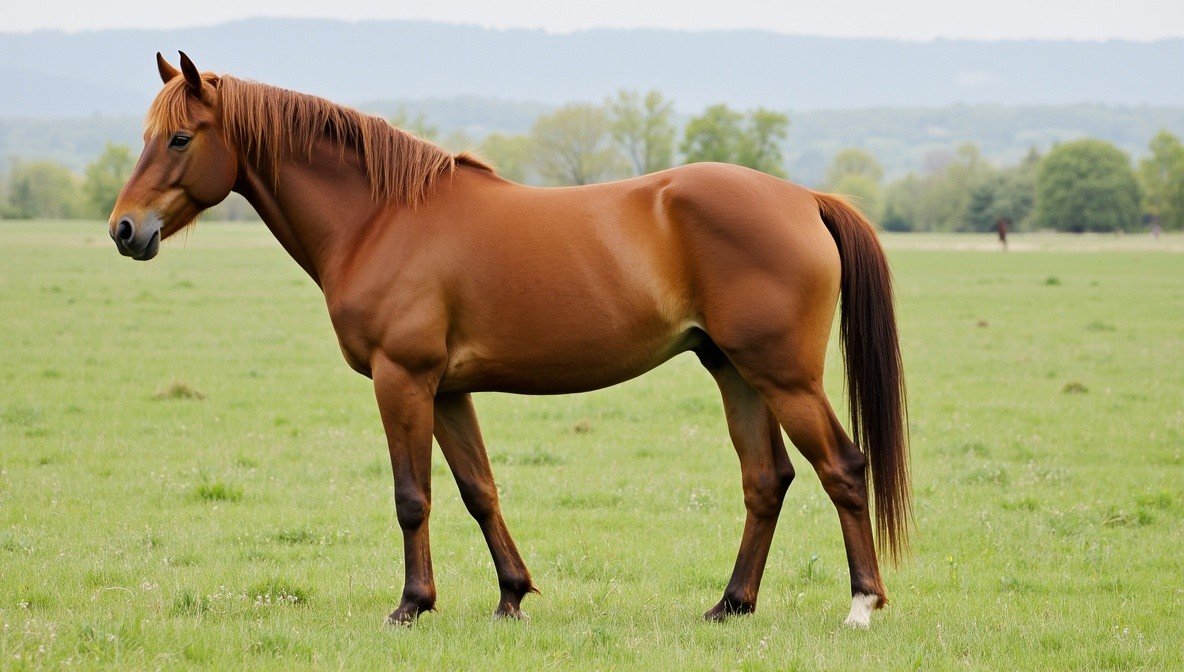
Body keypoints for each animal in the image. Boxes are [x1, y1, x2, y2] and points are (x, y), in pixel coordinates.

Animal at [109, 52, 909, 628]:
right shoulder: (447, 390)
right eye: (146, 135)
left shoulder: (404, 380)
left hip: (784, 377)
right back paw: (731, 604)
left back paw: (861, 605)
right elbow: (478, 491)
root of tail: (803, 198)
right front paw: (512, 595)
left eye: (179, 137)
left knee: (843, 467)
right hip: (734, 371)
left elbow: (413, 497)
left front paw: (411, 605)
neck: (380, 219)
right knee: (766, 481)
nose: (124, 228)